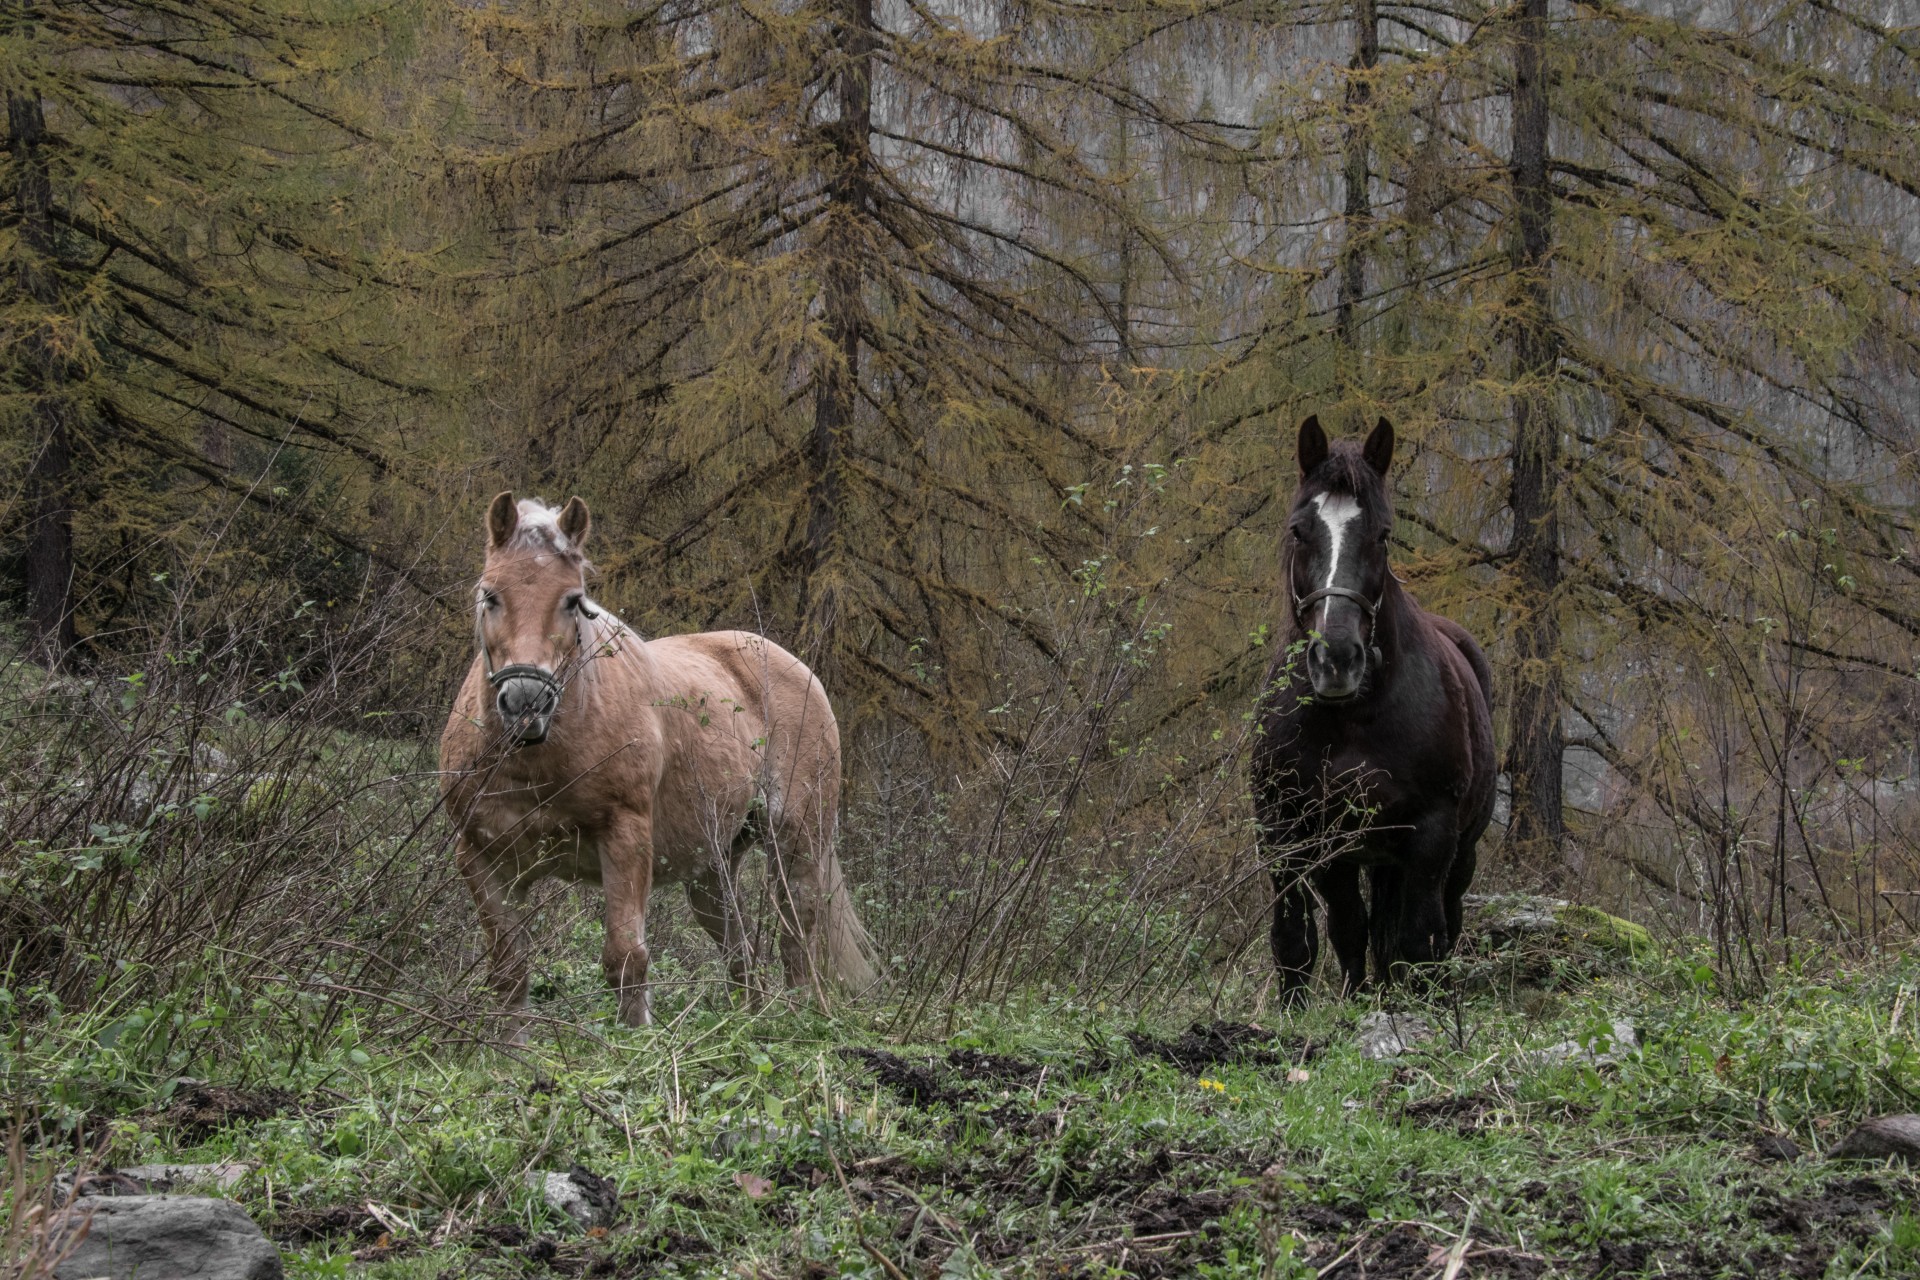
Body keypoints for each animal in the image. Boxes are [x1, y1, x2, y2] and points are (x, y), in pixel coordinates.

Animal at [439, 492, 877, 1035]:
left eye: (572, 600)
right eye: (490, 595)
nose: (525, 702)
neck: (538, 760)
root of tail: (796, 667)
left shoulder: (626, 840)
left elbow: (626, 957)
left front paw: (637, 1040)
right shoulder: (479, 857)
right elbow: (508, 968)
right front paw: (512, 1048)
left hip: (797, 844)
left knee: (797, 934)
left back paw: (796, 1021)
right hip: (712, 867)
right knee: (740, 949)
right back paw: (747, 1023)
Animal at [1251, 416, 1495, 1001]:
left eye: (1382, 534)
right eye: (1299, 530)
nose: (1337, 659)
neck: (1351, 718)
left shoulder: (1431, 836)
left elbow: (1419, 943)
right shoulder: (1287, 831)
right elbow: (1300, 940)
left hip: (1457, 856)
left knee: (1441, 923)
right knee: (1352, 927)